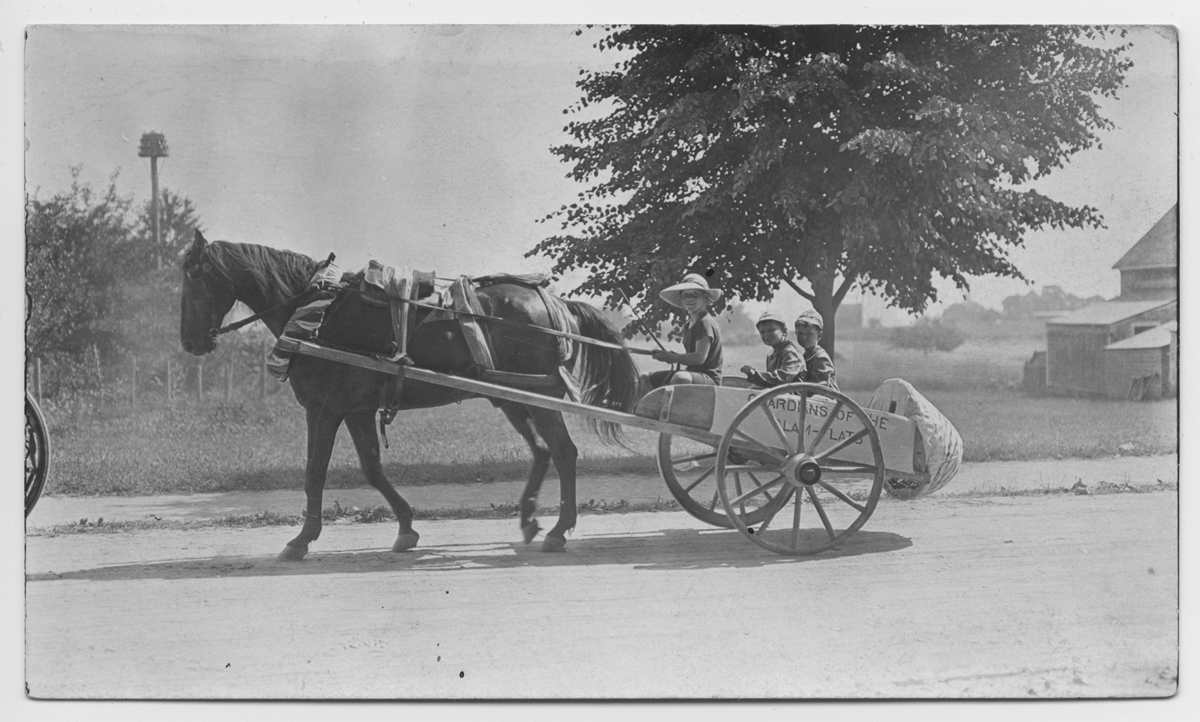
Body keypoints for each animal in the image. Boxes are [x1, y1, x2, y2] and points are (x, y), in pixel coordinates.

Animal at [178, 230, 643, 556]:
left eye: (193, 276)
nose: (189, 341)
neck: (317, 313)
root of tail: (549, 301)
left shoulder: (324, 408)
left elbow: (315, 472)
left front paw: (301, 539)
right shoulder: (358, 411)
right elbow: (372, 469)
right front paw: (405, 526)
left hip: (537, 399)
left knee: (563, 452)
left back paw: (559, 531)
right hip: (512, 397)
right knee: (544, 451)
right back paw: (531, 519)